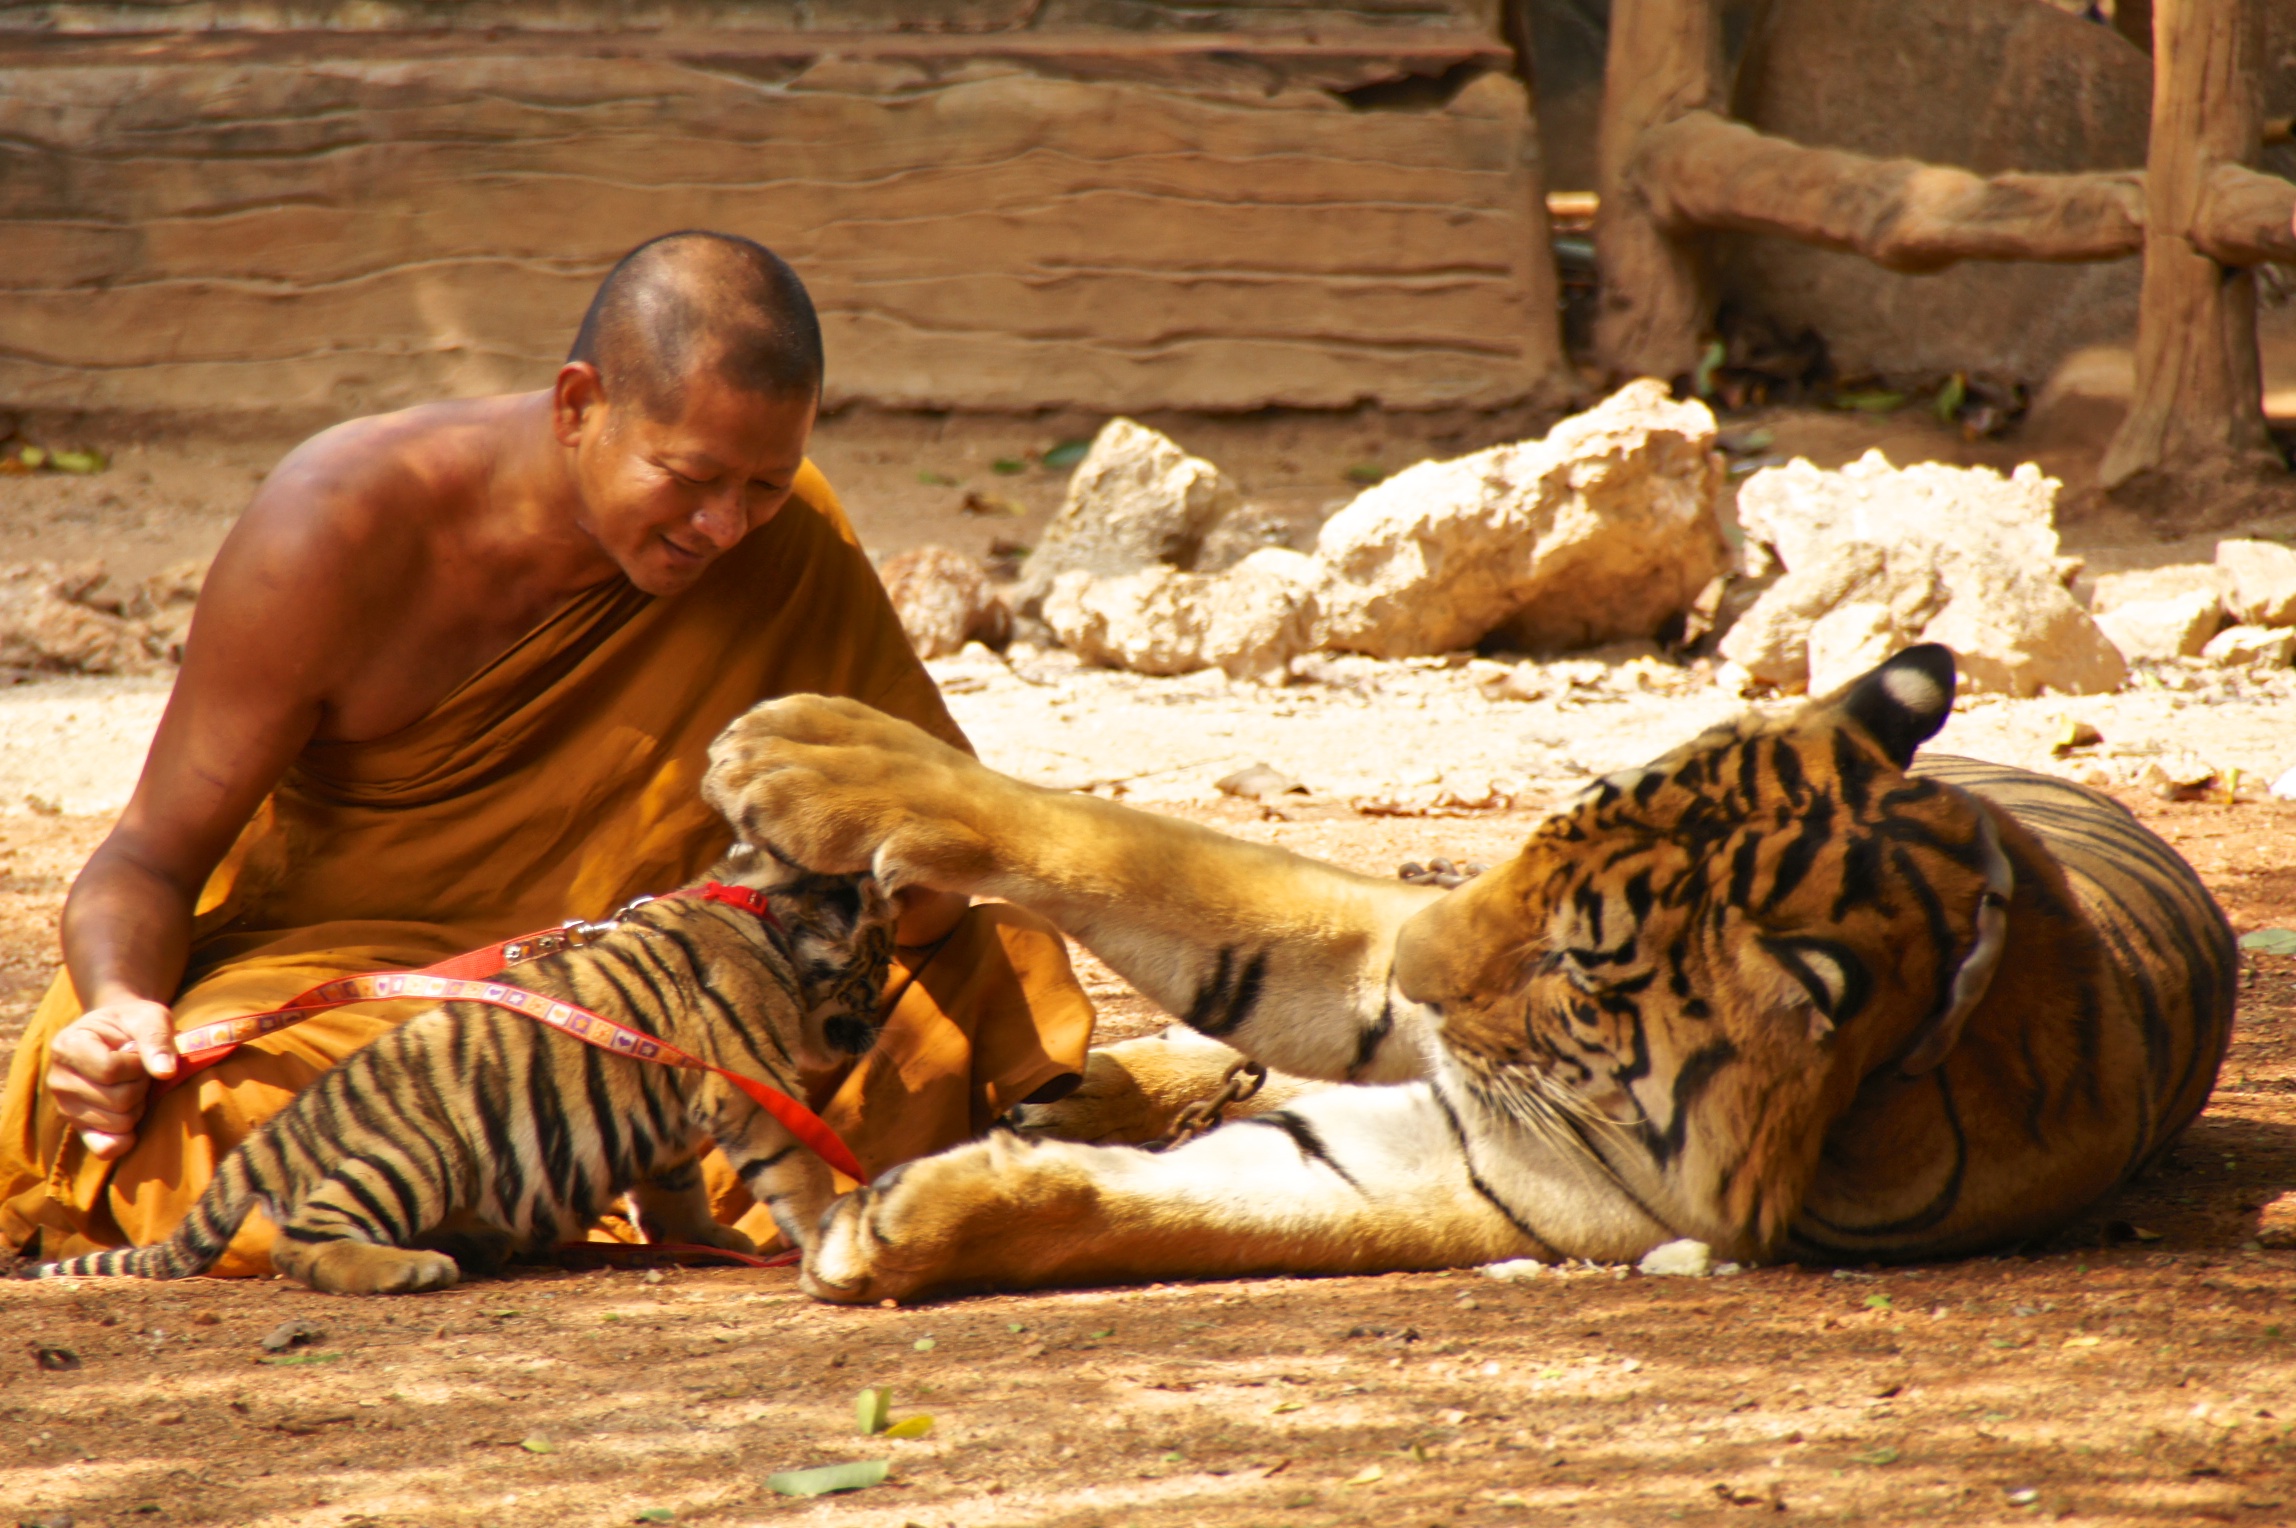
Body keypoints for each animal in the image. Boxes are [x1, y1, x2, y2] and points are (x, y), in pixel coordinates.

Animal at [20, 864, 895, 1295]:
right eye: (877, 967)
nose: (882, 1021)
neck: (772, 928)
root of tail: (272, 1139)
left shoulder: (681, 1116)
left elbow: (674, 1190)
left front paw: (713, 1238)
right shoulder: (751, 1083)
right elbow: (803, 1174)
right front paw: (829, 1237)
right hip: (421, 1152)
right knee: (301, 1243)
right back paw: (409, 1269)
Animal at [698, 643, 2236, 1303]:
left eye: (1578, 959)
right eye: (1541, 841)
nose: (1421, 973)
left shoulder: (1481, 1179)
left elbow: (1153, 1211)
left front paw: (887, 1225)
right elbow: (1128, 847)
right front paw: (804, 751)